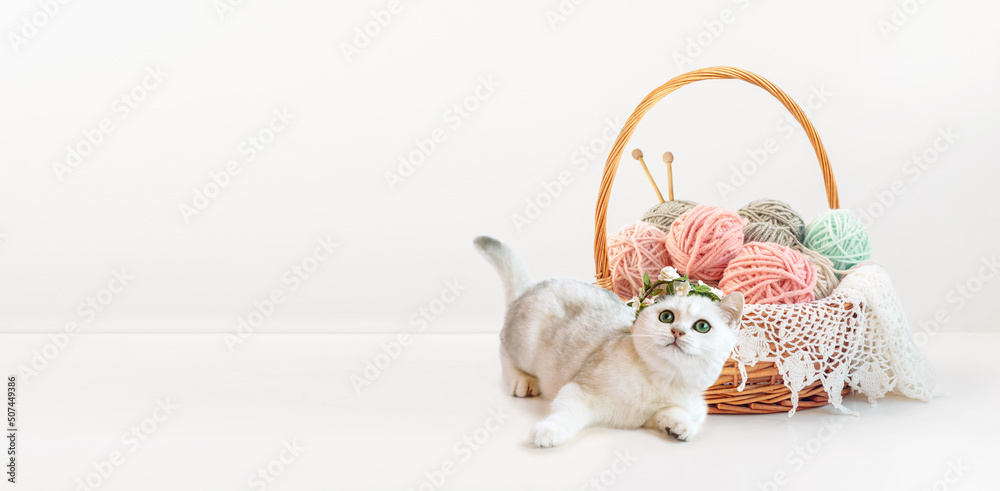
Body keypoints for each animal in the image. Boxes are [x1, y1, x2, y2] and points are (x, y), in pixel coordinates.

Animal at [476, 236, 744, 448]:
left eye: (702, 327)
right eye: (667, 317)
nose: (677, 332)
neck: (662, 380)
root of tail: (529, 289)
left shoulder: (688, 406)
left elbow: (679, 412)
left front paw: (679, 427)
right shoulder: (576, 391)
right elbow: (565, 416)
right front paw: (547, 432)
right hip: (525, 345)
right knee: (503, 349)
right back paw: (522, 381)